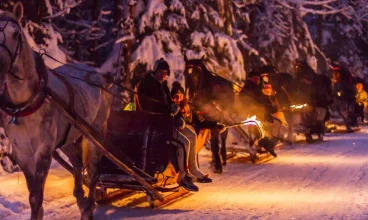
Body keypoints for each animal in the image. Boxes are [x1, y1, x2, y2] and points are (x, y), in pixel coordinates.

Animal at [0, 2, 111, 219]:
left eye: (16, 34)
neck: (25, 103)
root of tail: (96, 75)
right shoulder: (21, 152)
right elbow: (33, 193)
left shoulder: (44, 149)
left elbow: (36, 197)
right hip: (68, 138)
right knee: (77, 165)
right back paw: (81, 199)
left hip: (95, 134)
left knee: (93, 171)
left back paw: (89, 207)